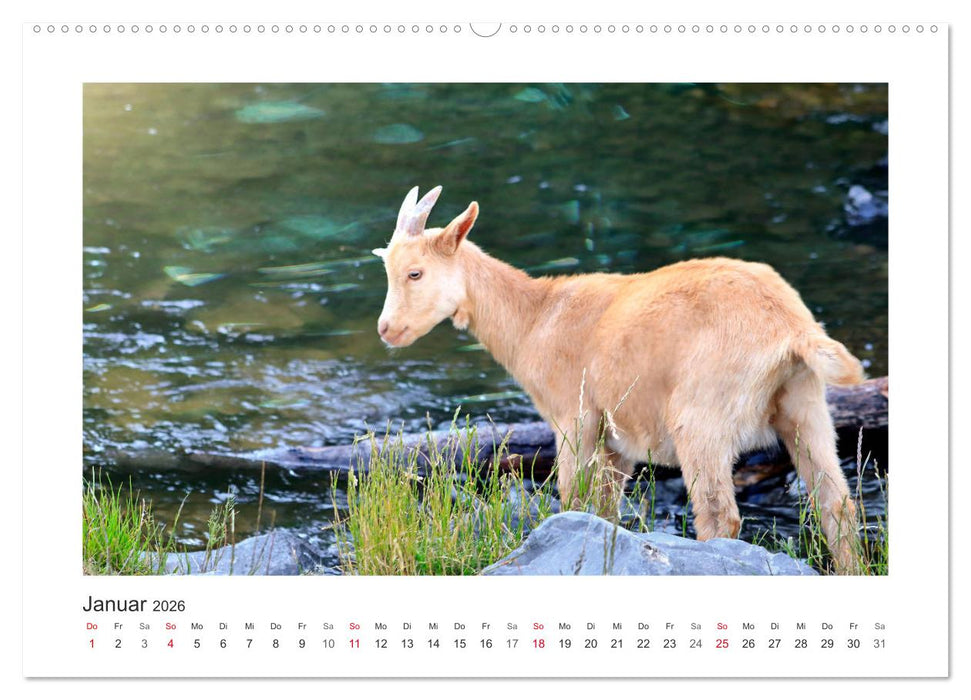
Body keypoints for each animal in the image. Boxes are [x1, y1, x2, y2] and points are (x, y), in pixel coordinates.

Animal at [374, 186, 864, 574]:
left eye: (415, 273)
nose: (386, 330)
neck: (536, 318)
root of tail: (790, 328)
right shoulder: (618, 439)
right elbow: (605, 507)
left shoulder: (573, 416)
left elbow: (572, 497)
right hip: (805, 403)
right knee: (836, 504)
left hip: (702, 414)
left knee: (718, 514)